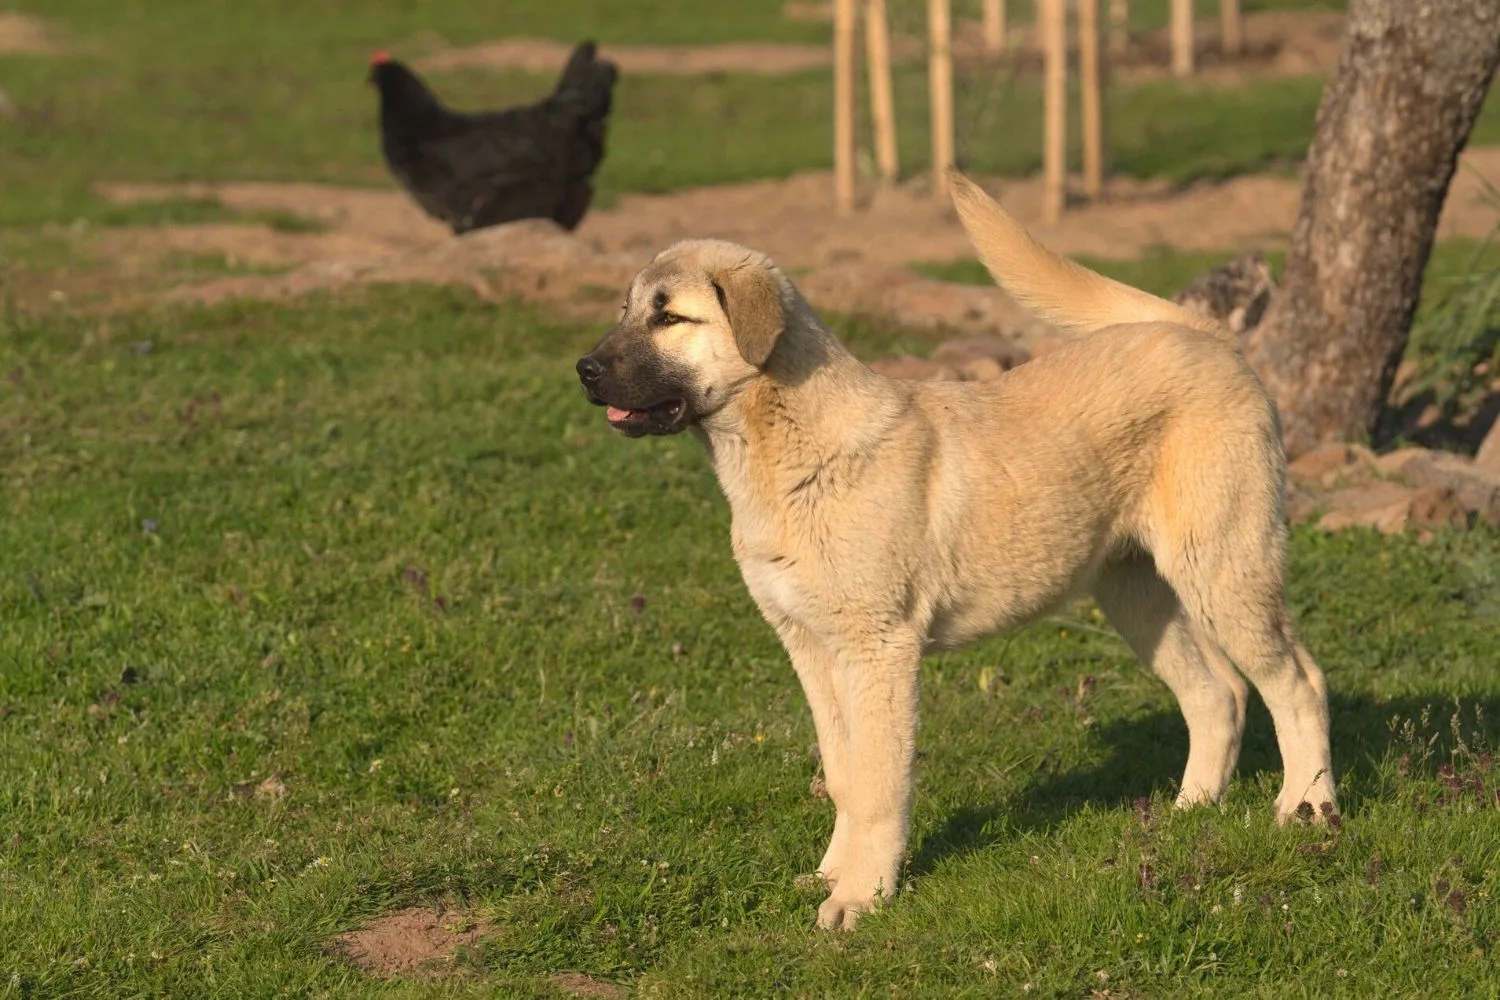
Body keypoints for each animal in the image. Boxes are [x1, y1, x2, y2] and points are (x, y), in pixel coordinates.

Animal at [573, 170, 1338, 929]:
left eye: (670, 318)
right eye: (628, 309)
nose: (584, 369)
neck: (785, 454)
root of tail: (1211, 340)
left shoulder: (879, 649)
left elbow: (879, 782)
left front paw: (861, 896)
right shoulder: (810, 646)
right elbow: (844, 773)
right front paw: (830, 874)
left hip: (1224, 570)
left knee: (1298, 682)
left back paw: (1307, 808)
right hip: (1138, 594)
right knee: (1219, 694)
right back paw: (1188, 811)